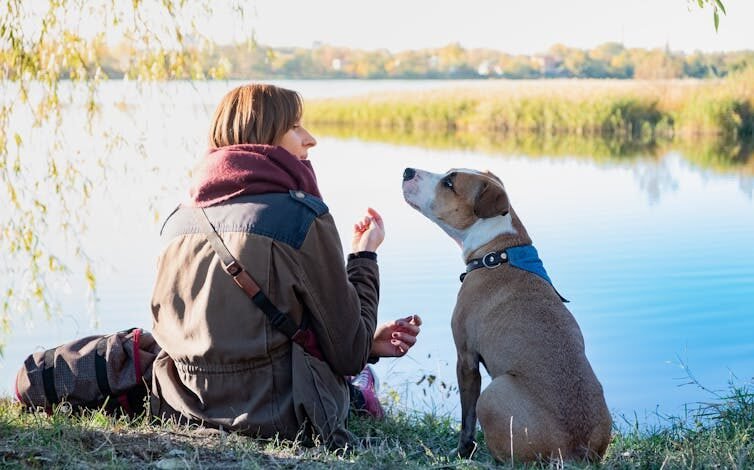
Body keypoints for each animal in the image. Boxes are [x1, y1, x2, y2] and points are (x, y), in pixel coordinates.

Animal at [402, 168, 608, 462]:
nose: (407, 170)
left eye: (450, 182)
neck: (496, 252)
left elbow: (466, 419)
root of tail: (576, 450)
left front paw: (462, 451)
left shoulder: (466, 358)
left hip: (493, 393)